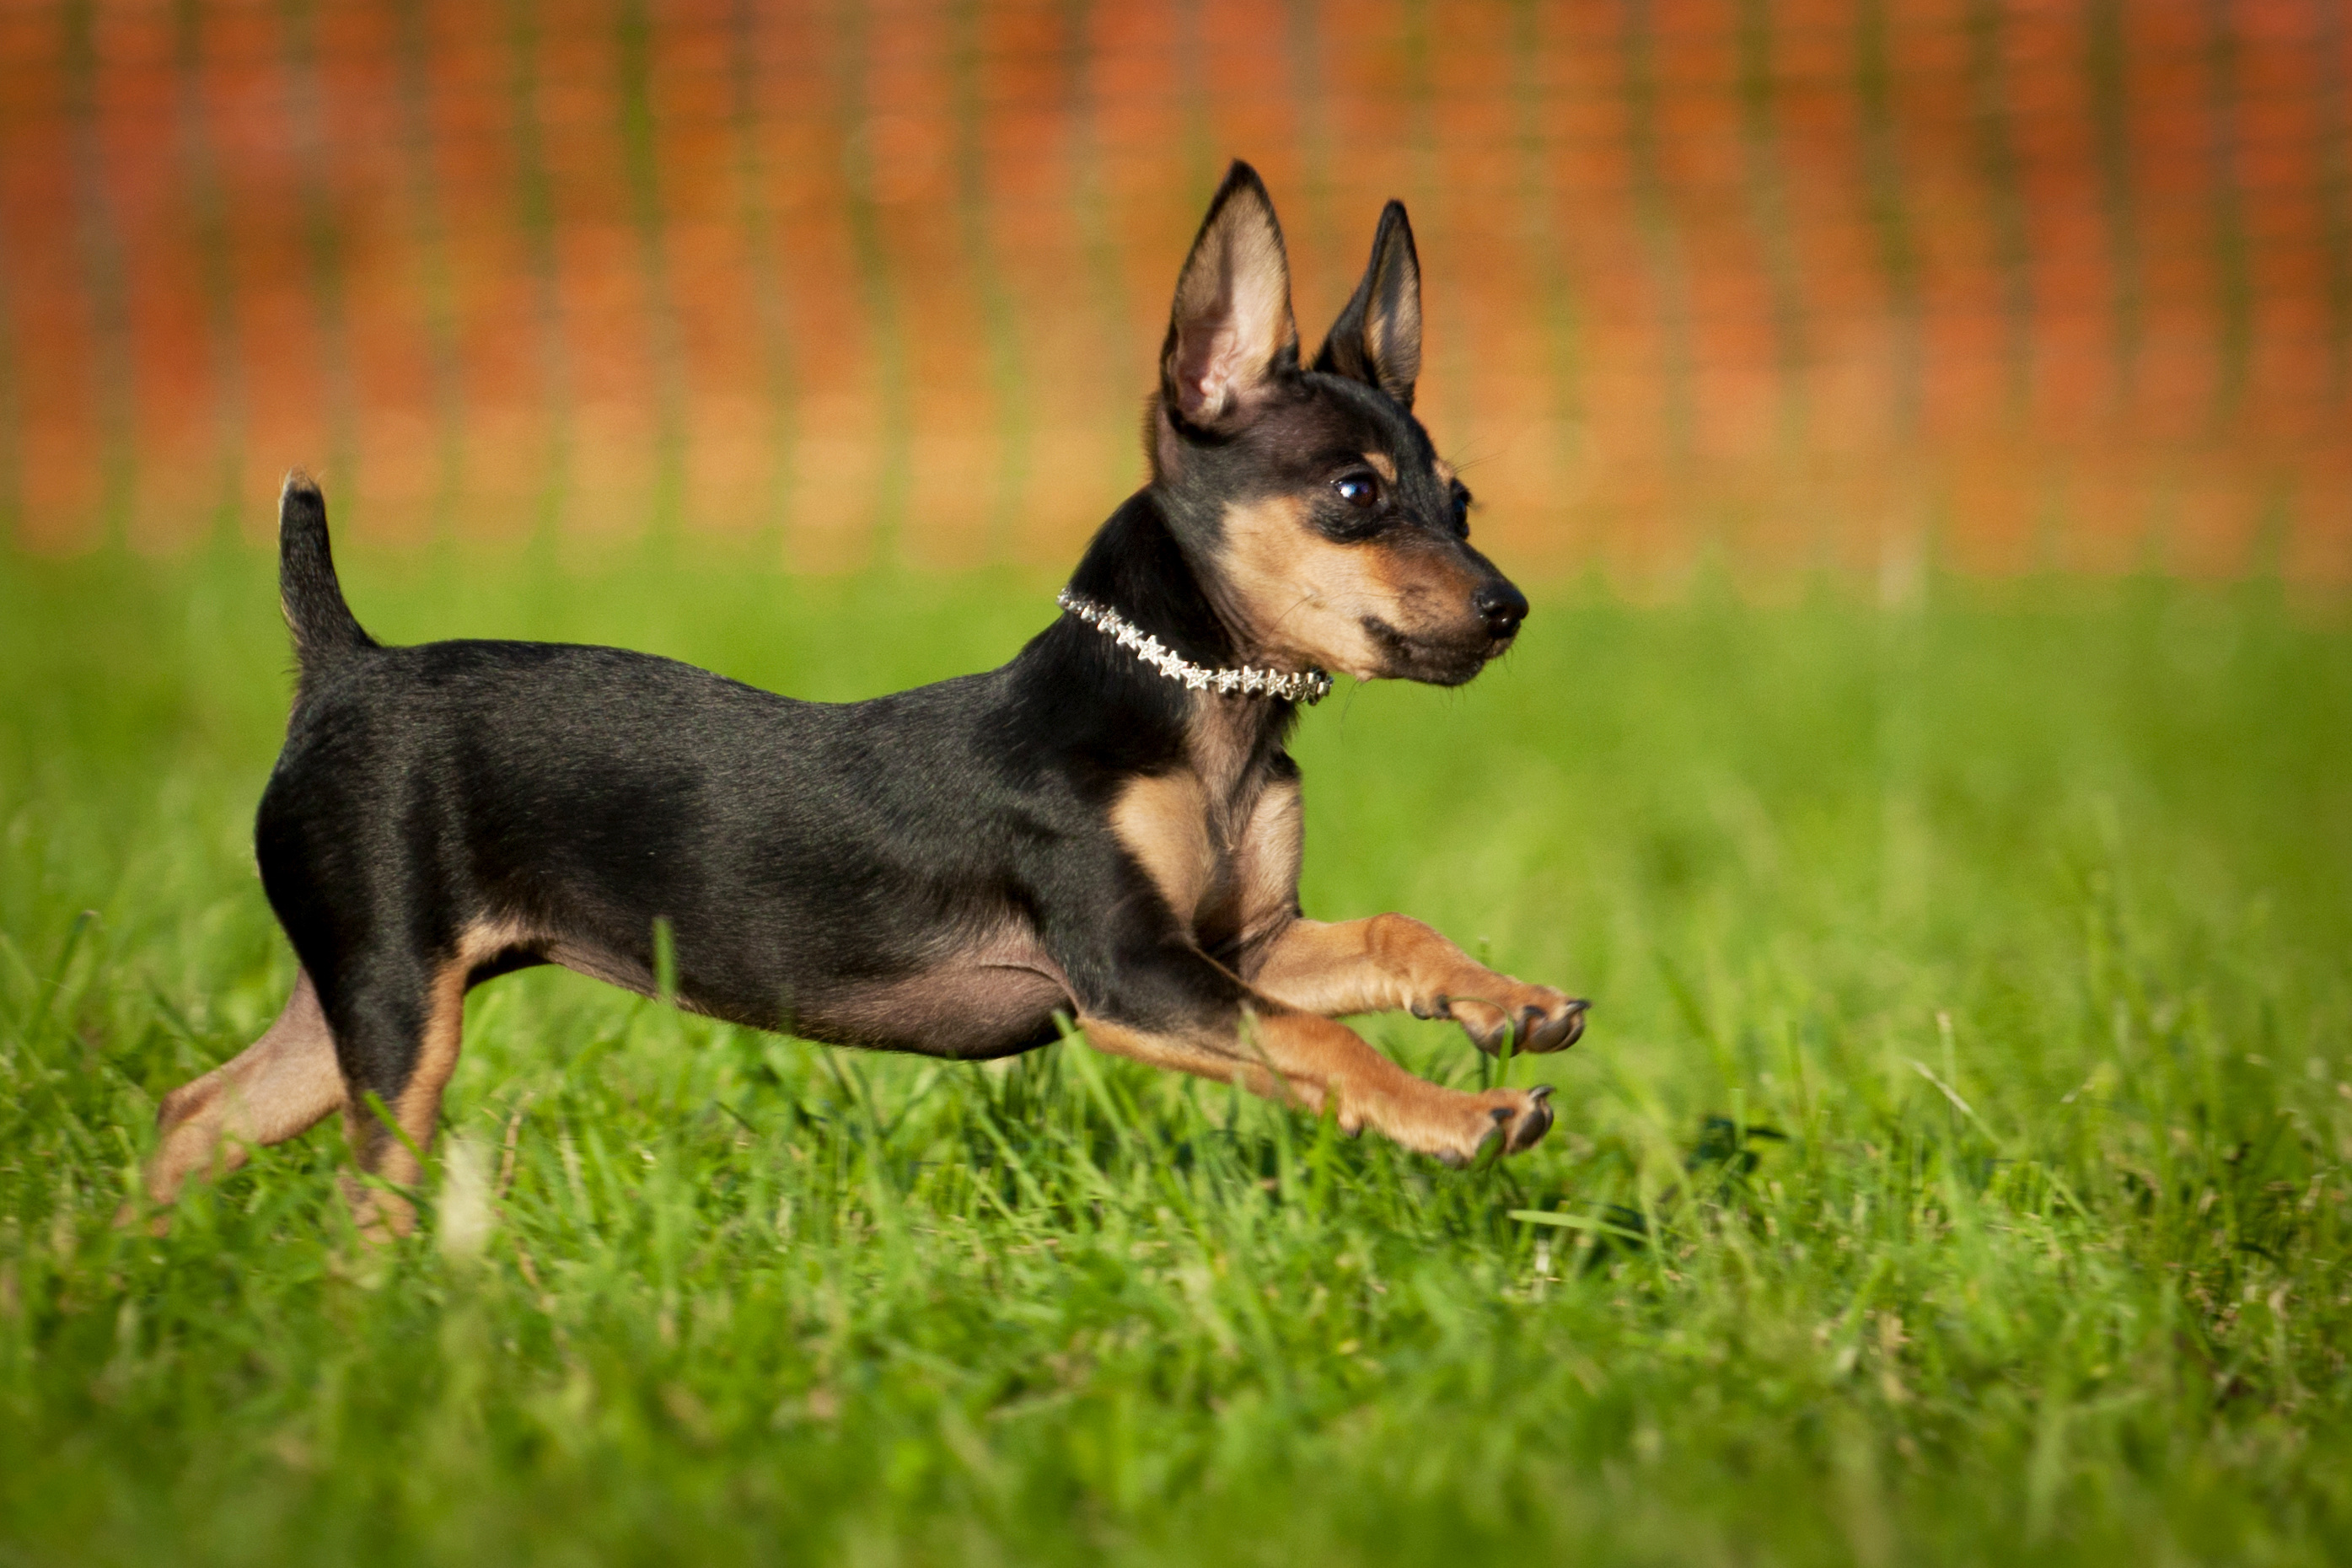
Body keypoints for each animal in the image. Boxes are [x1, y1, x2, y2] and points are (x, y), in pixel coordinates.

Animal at [142, 162, 1580, 1241]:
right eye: (1352, 495)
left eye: (1461, 503)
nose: (1508, 609)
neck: (1201, 714)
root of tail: (346, 659)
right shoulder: (1135, 979)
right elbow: (1319, 1052)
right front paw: (1457, 1117)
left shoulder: (1246, 946)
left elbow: (1394, 934)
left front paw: (1504, 1001)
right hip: (398, 1007)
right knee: (358, 1201)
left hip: (363, 989)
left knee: (195, 1113)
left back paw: (127, 1282)